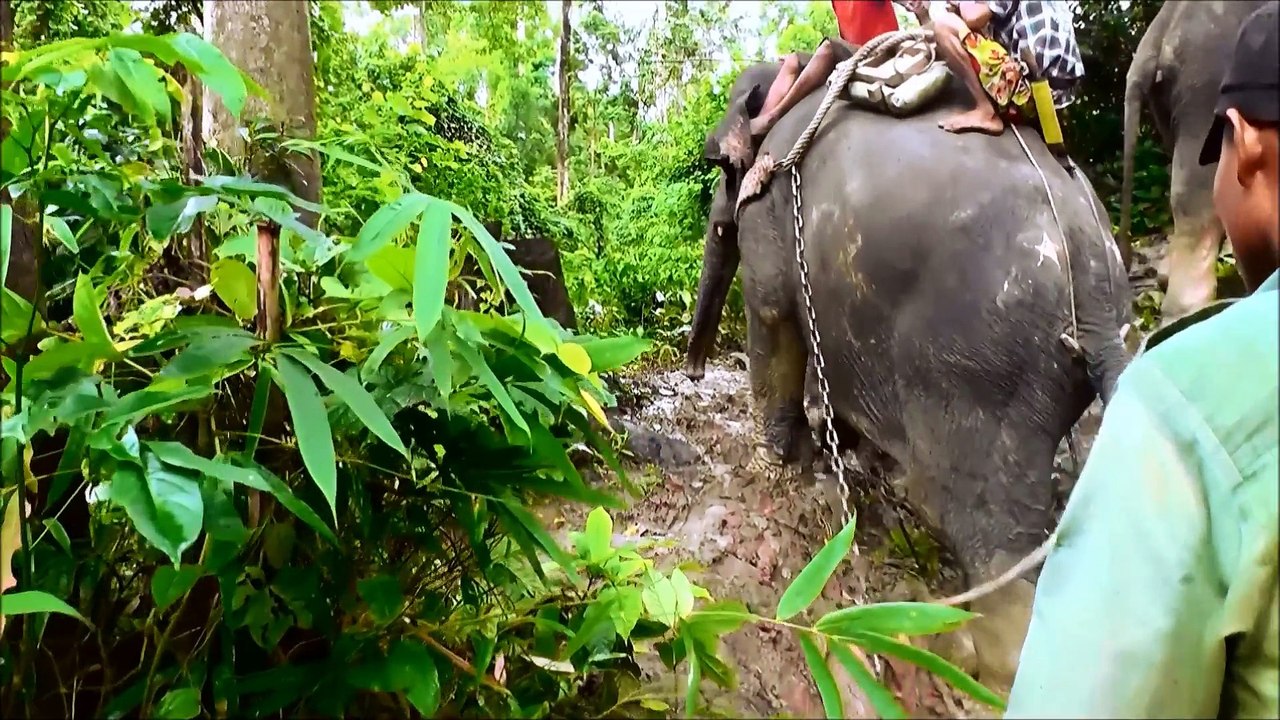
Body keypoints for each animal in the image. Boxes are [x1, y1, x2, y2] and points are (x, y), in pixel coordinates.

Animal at [688, 59, 1133, 689]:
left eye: (724, 167)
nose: (695, 370)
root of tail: (1090, 264)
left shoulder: (771, 203)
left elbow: (772, 311)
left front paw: (772, 463)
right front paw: (833, 448)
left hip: (979, 363)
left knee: (972, 511)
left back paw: (958, 650)